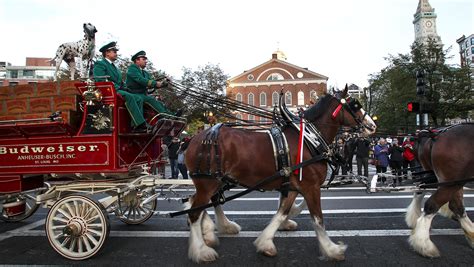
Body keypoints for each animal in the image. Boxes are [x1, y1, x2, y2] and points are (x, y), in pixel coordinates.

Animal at [183, 88, 376, 264]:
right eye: (355, 105)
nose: (372, 126)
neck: (309, 139)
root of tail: (194, 139)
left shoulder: (293, 187)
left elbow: (282, 213)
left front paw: (265, 243)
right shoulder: (311, 187)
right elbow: (318, 219)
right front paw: (332, 250)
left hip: (215, 181)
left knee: (203, 202)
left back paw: (219, 229)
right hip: (207, 182)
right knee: (195, 211)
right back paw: (202, 250)